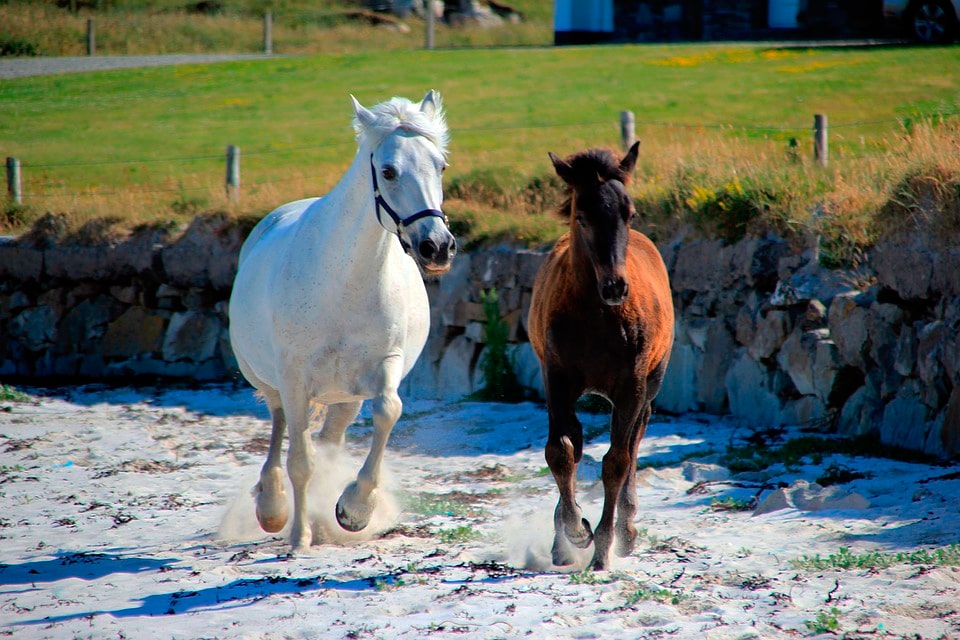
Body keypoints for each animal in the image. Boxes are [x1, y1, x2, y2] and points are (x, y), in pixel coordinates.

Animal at [232, 90, 458, 552]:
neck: (342, 282)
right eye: (388, 171)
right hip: (273, 380)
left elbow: (388, 411)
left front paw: (353, 509)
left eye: (441, 166)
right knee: (281, 424)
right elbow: (300, 460)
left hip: (343, 396)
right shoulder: (295, 377)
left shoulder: (384, 366)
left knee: (329, 439)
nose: (438, 247)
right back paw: (273, 506)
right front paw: (298, 538)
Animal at [524, 141, 676, 568]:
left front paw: (604, 547)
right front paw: (575, 531)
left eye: (630, 213)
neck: (596, 317)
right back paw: (561, 539)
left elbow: (616, 462)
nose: (614, 287)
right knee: (575, 442)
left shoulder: (632, 387)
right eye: (582, 216)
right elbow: (560, 451)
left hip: (650, 384)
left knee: (635, 439)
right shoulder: (555, 379)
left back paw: (626, 528)